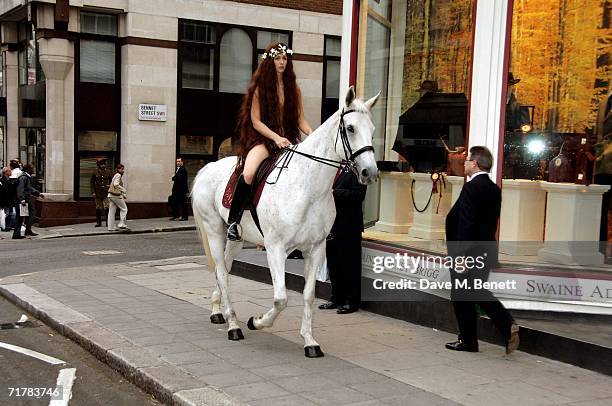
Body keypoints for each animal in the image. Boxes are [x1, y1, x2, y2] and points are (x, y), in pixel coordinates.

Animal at [194, 87, 380, 356]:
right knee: (221, 271)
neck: (309, 188)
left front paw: (310, 341)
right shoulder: (276, 248)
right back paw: (233, 325)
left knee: (225, 270)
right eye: (351, 128)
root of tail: (206, 168)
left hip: (236, 238)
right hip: (214, 231)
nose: (370, 172)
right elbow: (281, 298)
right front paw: (257, 322)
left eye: (373, 129)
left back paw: (219, 311)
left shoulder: (316, 248)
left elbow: (309, 295)